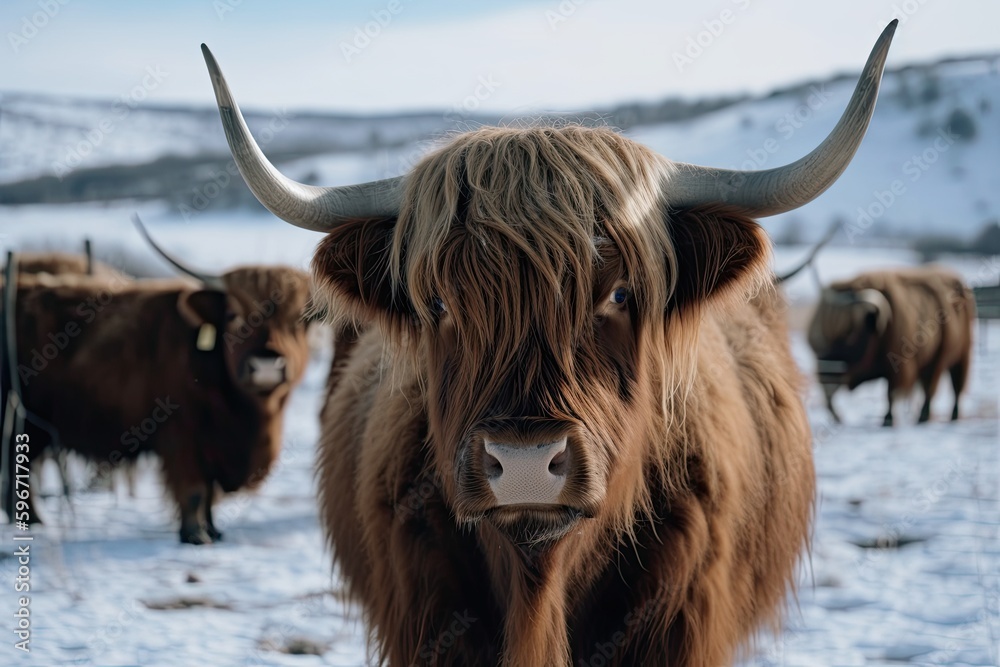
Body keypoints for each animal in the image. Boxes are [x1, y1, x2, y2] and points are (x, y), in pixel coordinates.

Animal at [808, 266, 972, 428]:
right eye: (823, 331)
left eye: (851, 333)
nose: (825, 369)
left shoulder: (899, 369)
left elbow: (891, 393)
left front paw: (887, 419)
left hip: (954, 357)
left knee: (948, 387)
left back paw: (942, 417)